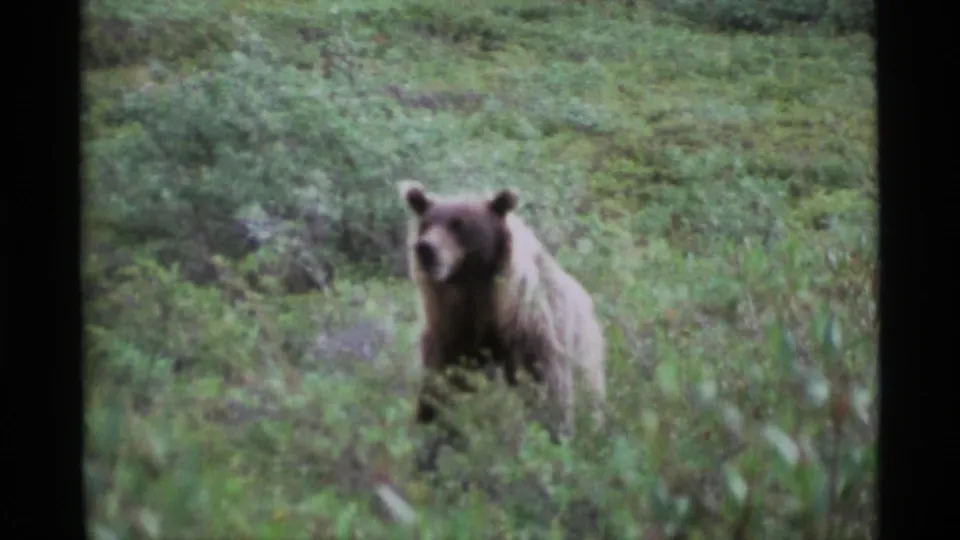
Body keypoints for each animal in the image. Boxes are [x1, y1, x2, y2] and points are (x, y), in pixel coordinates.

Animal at [397, 180, 606, 470]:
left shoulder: (528, 326)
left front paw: (554, 438)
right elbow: (440, 387)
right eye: (427, 223)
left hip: (585, 355)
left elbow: (545, 385)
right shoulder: (450, 332)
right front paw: (429, 442)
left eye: (459, 225)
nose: (426, 249)